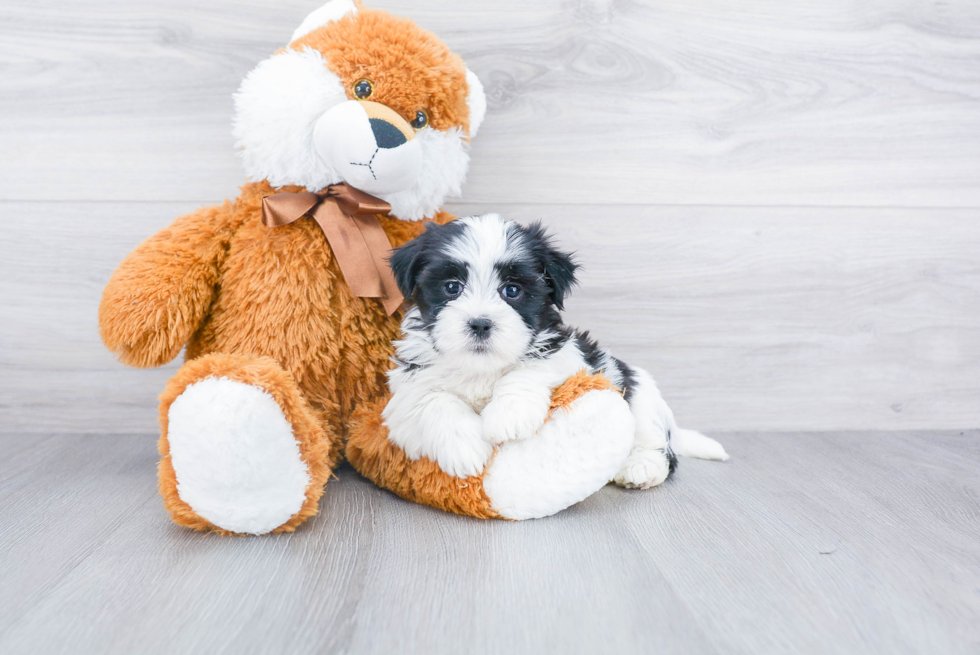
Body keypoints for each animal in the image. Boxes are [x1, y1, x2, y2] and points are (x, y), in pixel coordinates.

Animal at [382, 215, 728, 486]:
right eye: (451, 287)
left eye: (512, 290)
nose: (480, 324)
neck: (482, 368)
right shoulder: (405, 398)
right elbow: (435, 401)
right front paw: (465, 448)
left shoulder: (570, 358)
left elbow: (528, 370)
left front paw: (509, 414)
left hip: (638, 393)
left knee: (657, 443)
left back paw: (641, 467)